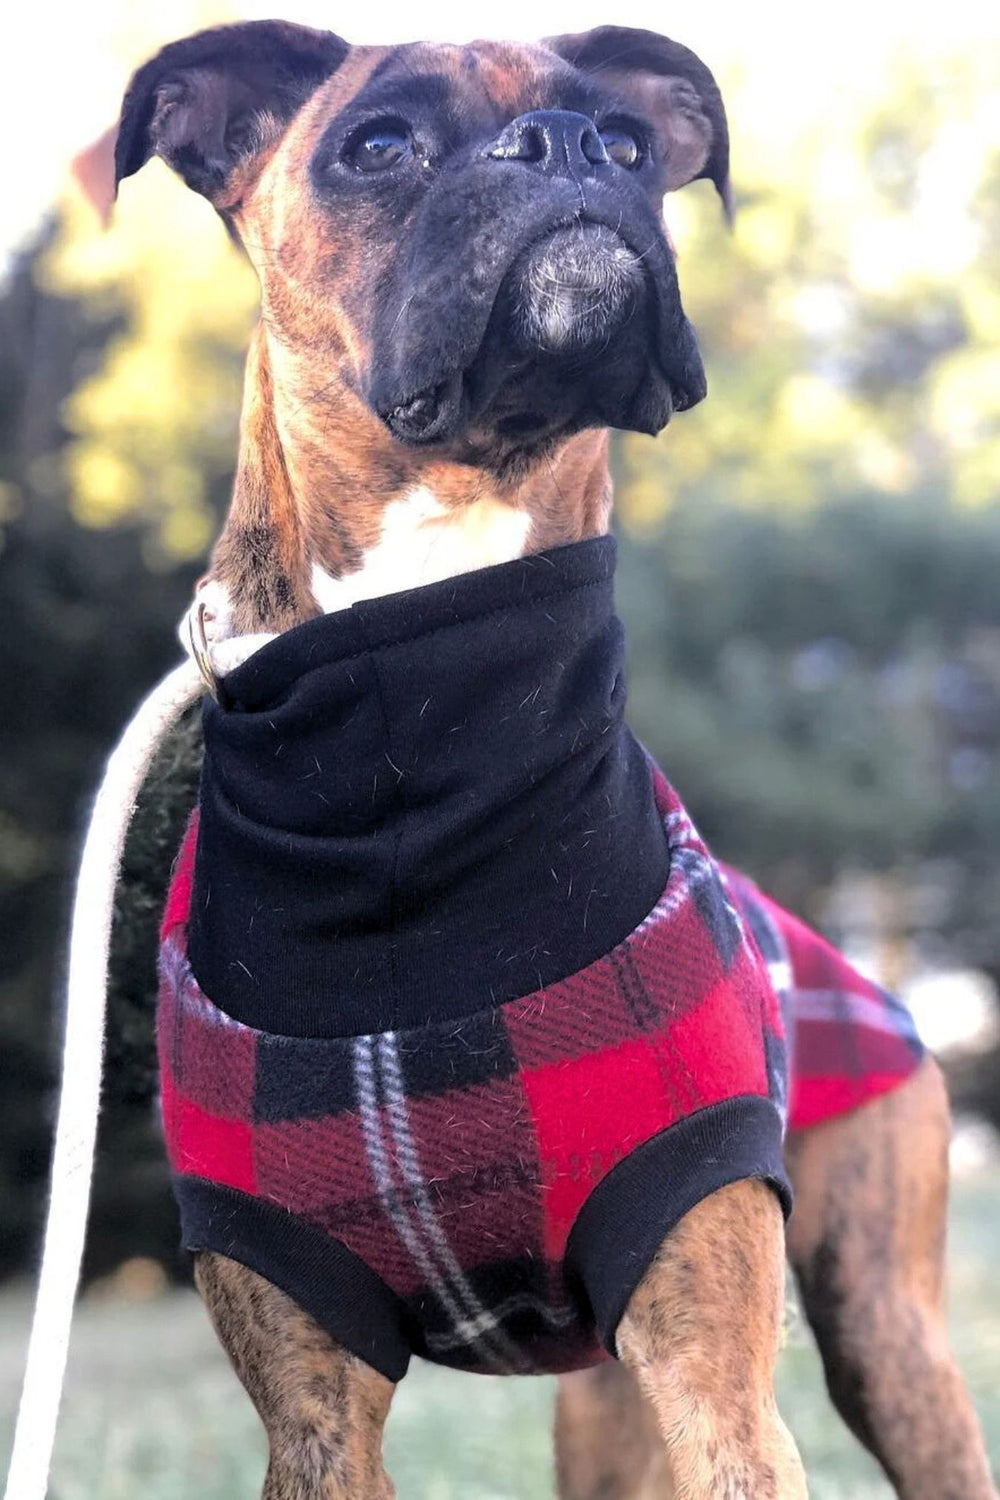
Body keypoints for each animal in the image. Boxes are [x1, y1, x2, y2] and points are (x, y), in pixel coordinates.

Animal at [103, 23, 1000, 1500]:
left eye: (630, 144)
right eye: (380, 144)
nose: (572, 151)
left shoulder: (716, 1380)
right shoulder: (311, 1404)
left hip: (888, 1337)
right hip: (604, 1411)